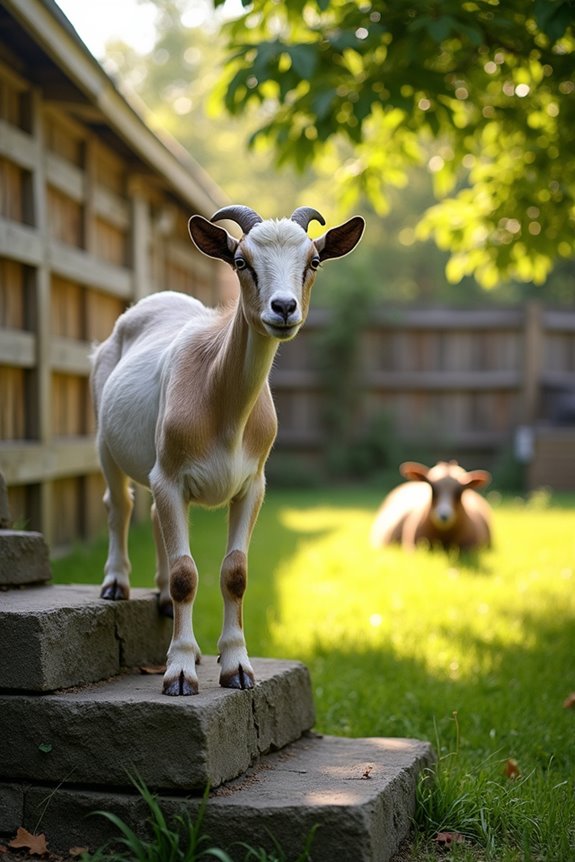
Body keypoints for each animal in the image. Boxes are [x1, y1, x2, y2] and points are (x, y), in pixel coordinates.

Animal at [90, 205, 364, 695]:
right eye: (241, 261)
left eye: (313, 261)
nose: (283, 308)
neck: (225, 410)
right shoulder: (171, 476)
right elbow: (186, 574)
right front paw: (180, 672)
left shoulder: (252, 483)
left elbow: (235, 572)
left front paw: (236, 667)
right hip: (105, 440)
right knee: (119, 504)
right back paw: (116, 584)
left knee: (155, 518)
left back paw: (163, 601)